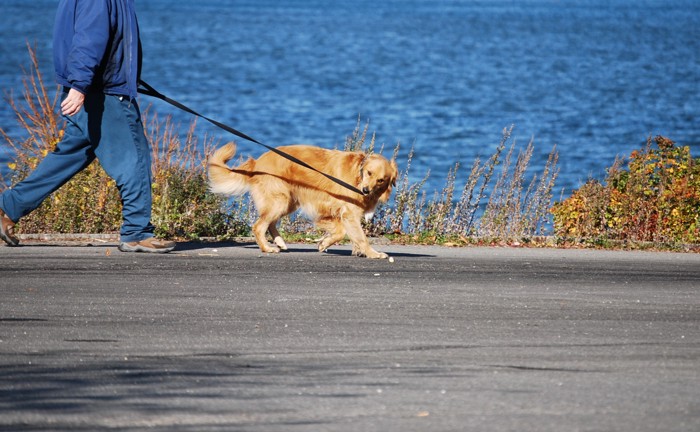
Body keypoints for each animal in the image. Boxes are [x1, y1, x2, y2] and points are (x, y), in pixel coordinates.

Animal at [205, 143, 396, 258]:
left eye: (381, 180)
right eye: (369, 173)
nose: (365, 190)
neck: (357, 175)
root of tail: (257, 163)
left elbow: (345, 233)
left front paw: (327, 243)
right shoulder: (347, 213)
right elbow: (356, 235)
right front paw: (373, 253)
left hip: (288, 201)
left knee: (270, 222)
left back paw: (279, 242)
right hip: (280, 200)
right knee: (259, 226)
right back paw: (267, 248)